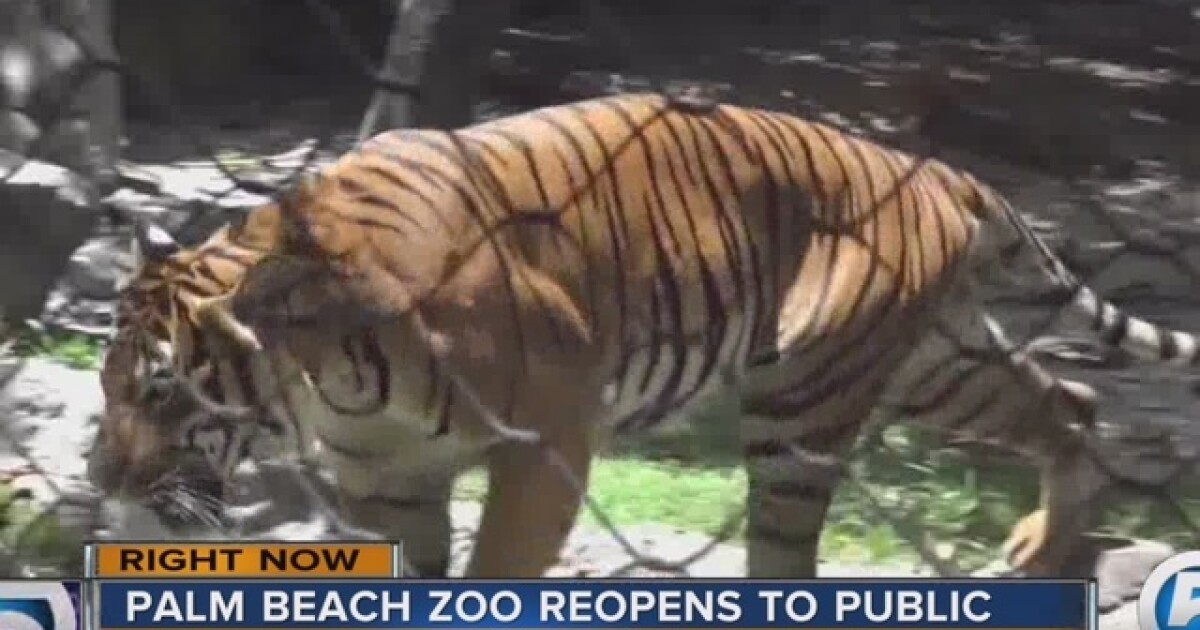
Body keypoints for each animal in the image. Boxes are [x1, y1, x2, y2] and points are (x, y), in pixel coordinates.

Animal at [88, 91, 1197, 579]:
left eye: (160, 389)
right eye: (105, 386)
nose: (103, 478)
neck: (325, 384)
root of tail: (925, 169)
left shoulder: (545, 447)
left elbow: (496, 574)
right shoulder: (384, 481)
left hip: (805, 400)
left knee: (786, 554)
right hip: (935, 361)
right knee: (1071, 397)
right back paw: (1046, 547)